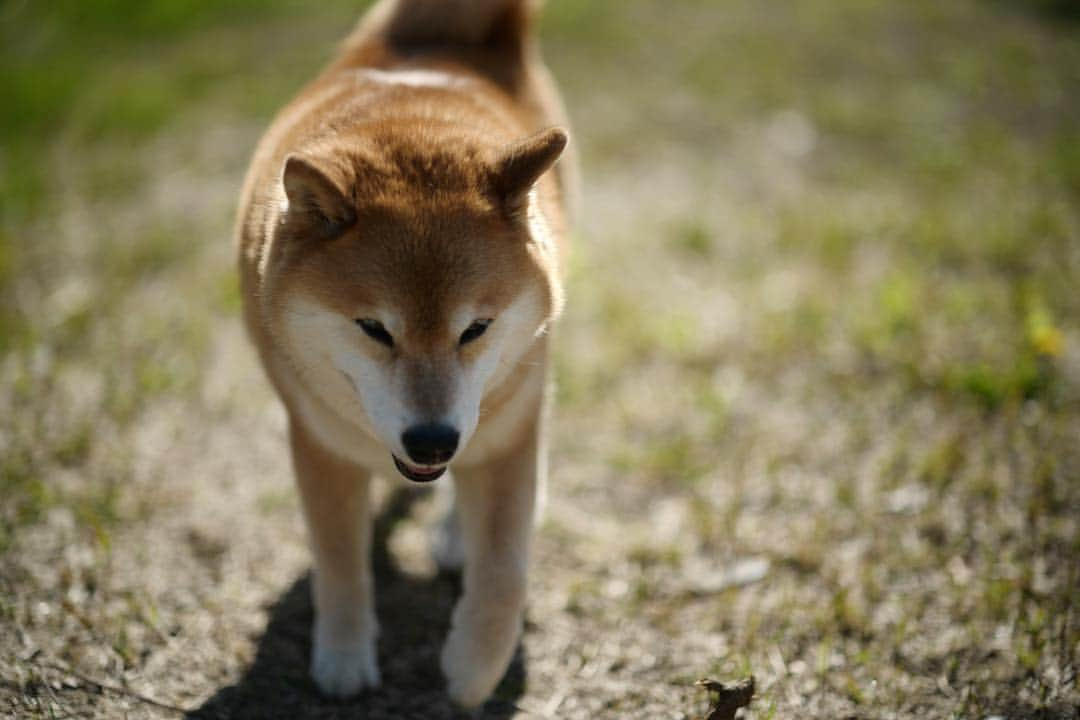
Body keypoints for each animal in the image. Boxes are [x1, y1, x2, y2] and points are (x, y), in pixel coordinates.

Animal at [236, 0, 574, 708]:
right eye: (373, 328)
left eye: (476, 328)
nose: (432, 440)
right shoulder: (321, 443)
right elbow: (339, 561)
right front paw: (343, 656)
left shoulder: (513, 430)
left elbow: (505, 568)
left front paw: (474, 668)